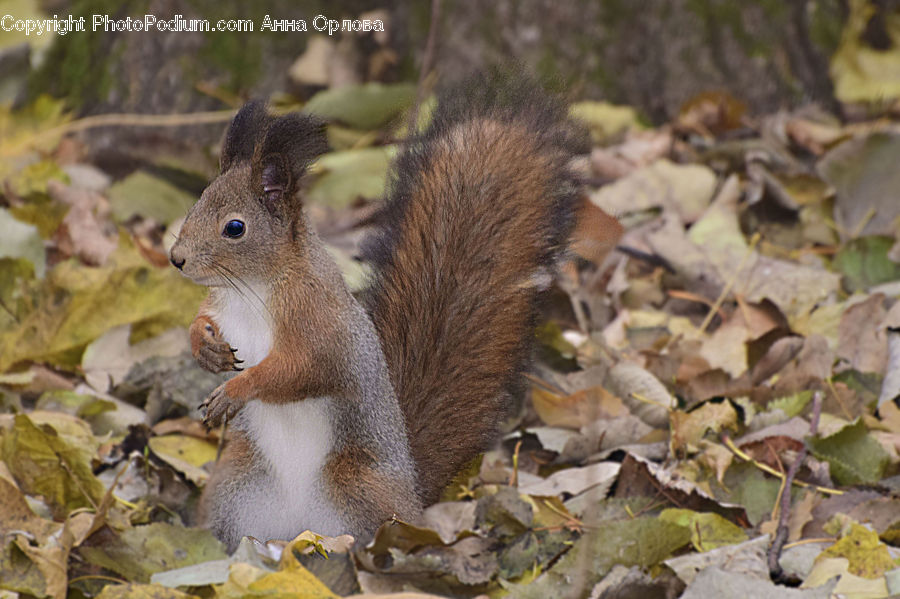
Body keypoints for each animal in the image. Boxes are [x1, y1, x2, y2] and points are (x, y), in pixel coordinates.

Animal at [168, 76, 587, 551]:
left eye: (235, 228)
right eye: (196, 203)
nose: (176, 259)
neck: (252, 289)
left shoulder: (320, 323)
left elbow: (301, 369)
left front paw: (236, 389)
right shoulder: (223, 306)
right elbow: (201, 321)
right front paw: (204, 347)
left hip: (358, 484)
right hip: (237, 486)